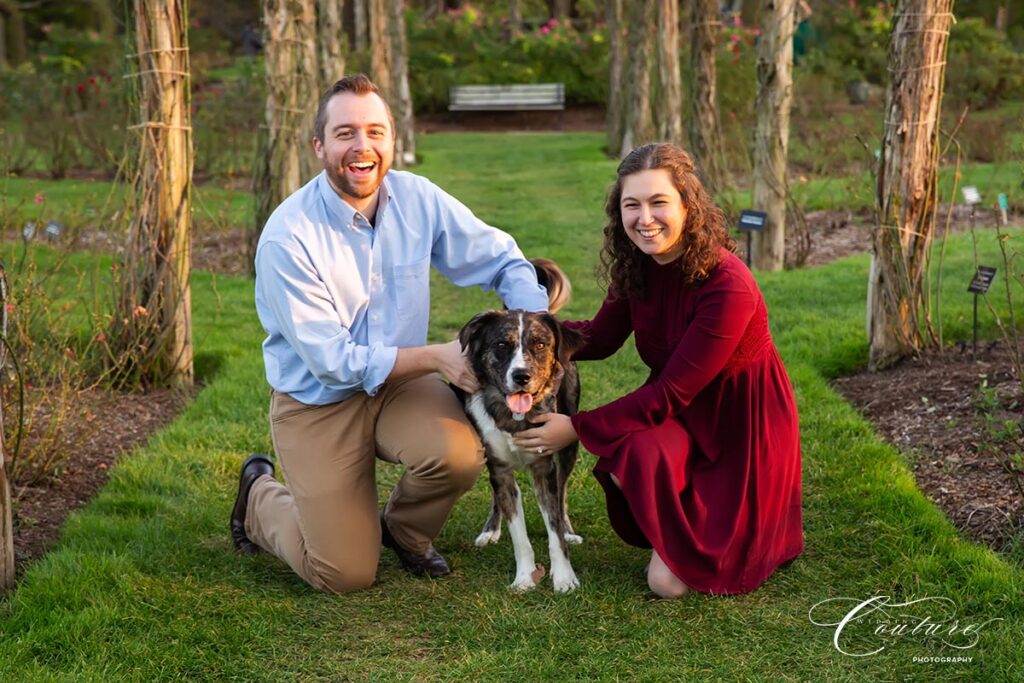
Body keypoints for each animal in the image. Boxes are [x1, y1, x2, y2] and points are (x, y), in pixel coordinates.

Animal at [456, 259, 585, 589]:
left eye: (540, 344)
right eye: (501, 344)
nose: (521, 376)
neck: (513, 419)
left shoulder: (544, 467)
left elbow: (554, 527)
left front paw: (564, 578)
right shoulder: (499, 467)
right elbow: (518, 534)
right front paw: (525, 578)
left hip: (569, 445)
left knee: (563, 493)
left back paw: (569, 530)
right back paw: (490, 530)